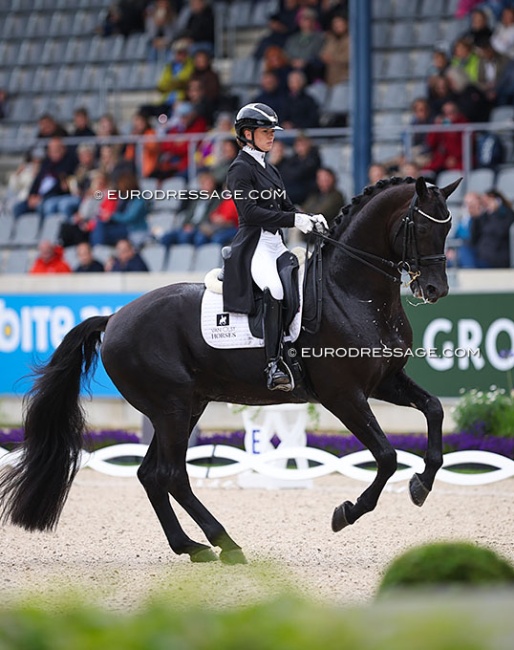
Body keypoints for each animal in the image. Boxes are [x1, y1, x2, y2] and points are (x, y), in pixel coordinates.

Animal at [0, 176, 460, 560]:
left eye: (449, 228)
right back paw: (225, 543)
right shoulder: (343, 395)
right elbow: (385, 455)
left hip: (187, 406)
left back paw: (191, 546)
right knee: (172, 474)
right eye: (421, 228)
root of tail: (114, 319)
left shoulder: (386, 381)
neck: (352, 292)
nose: (434, 289)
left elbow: (434, 409)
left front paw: (422, 484)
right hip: (171, 406)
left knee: (151, 474)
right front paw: (347, 511)